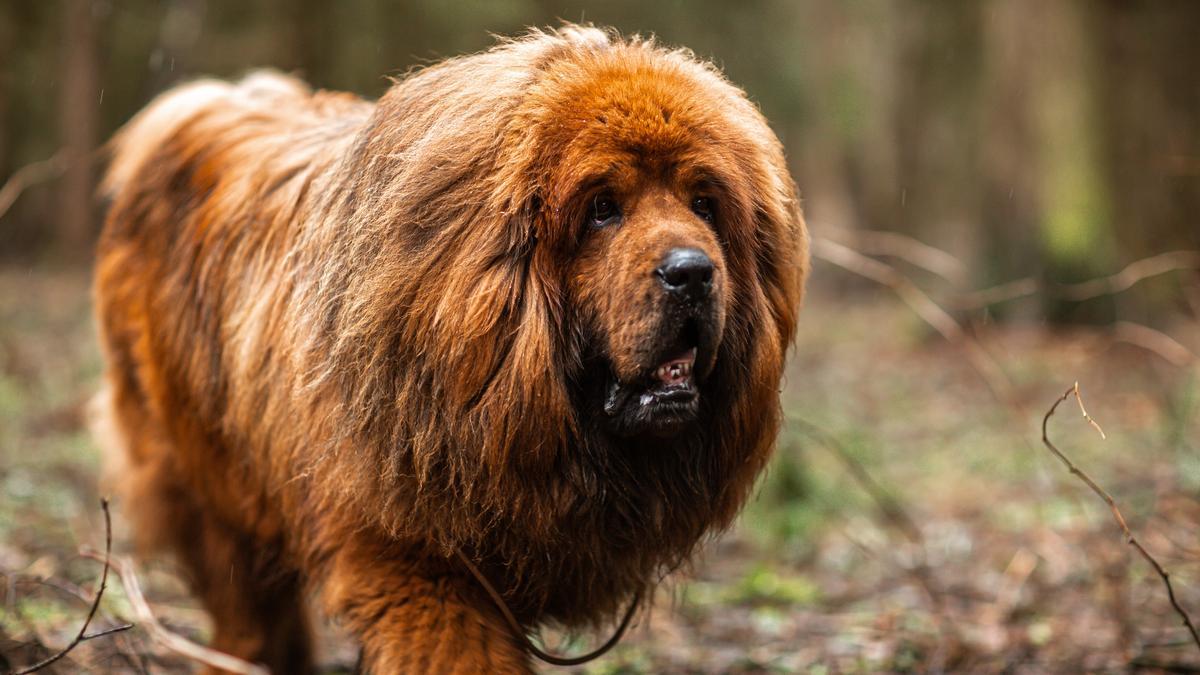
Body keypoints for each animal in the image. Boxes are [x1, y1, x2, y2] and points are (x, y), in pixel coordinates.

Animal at [91, 23, 806, 667]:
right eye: (602, 208)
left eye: (704, 205)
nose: (693, 272)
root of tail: (199, 107)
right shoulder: (420, 571)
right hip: (211, 485)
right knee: (248, 613)